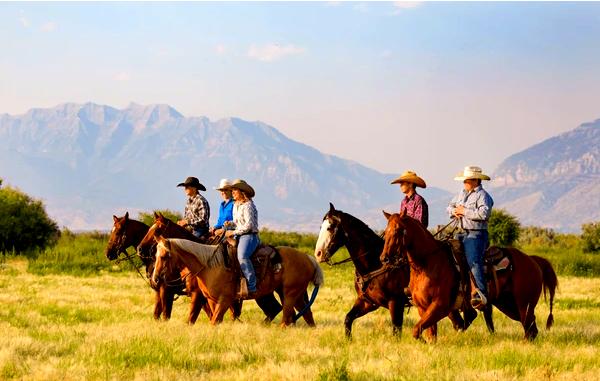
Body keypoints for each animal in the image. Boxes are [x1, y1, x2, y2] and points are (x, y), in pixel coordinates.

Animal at [152, 236, 326, 326]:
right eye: (155, 255)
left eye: (165, 256)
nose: (155, 279)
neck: (211, 265)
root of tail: (309, 258)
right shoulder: (211, 300)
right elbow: (213, 319)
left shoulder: (224, 300)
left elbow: (213, 320)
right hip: (292, 294)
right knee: (306, 315)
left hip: (290, 294)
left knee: (286, 316)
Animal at [314, 203, 474, 336]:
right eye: (320, 227)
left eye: (330, 227)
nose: (318, 254)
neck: (374, 265)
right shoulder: (368, 302)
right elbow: (348, 318)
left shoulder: (395, 303)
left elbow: (396, 331)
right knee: (460, 323)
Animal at [382, 211, 556, 342]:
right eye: (385, 231)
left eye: (397, 230)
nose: (384, 258)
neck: (428, 264)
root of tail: (532, 260)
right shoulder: (422, 307)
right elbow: (429, 333)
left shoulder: (440, 306)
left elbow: (417, 329)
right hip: (507, 304)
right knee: (531, 328)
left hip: (524, 304)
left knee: (529, 328)